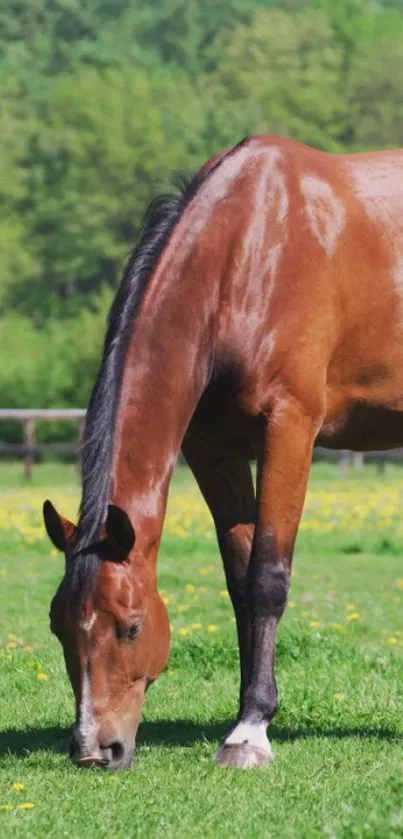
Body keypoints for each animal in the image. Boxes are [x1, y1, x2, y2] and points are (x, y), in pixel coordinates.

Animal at [42, 135, 403, 772]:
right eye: (60, 627)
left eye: (131, 626)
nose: (94, 750)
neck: (250, 253)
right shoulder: (213, 449)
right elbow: (238, 581)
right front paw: (248, 711)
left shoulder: (290, 429)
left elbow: (267, 577)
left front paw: (250, 734)